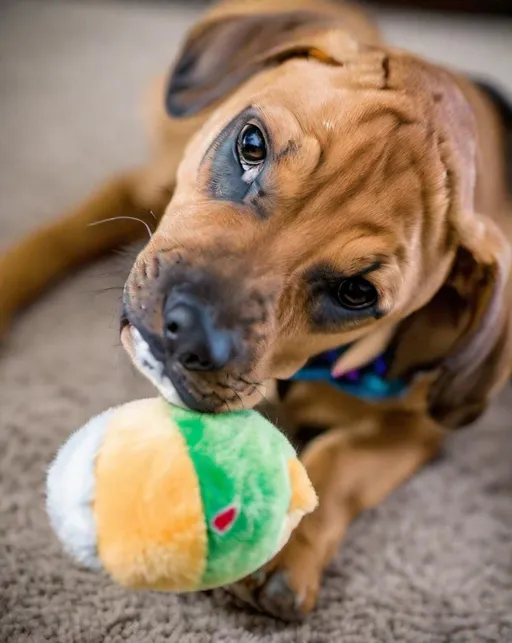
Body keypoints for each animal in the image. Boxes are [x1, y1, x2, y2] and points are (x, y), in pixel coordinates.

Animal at [1, 1, 512, 624]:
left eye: (357, 293)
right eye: (250, 145)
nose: (188, 333)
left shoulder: (415, 429)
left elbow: (340, 464)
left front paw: (288, 554)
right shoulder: (130, 193)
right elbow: (51, 240)